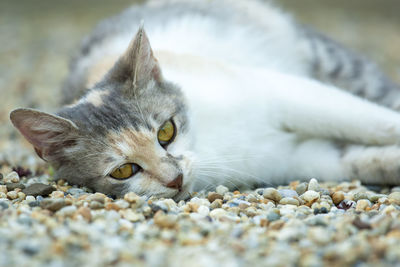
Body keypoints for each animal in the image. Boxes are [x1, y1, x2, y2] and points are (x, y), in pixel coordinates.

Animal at [8, 0, 400, 200]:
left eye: (166, 131)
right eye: (122, 170)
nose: (175, 179)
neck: (209, 143)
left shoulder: (281, 91)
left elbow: (373, 122)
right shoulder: (293, 158)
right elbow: (356, 161)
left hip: (332, 63)